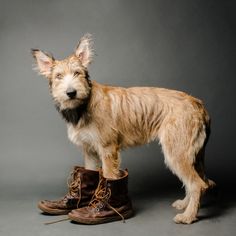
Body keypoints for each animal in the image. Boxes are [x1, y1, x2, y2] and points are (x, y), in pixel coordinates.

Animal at [31, 33, 216, 225]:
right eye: (58, 76)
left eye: (77, 73)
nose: (71, 92)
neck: (84, 105)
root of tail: (198, 104)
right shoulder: (90, 151)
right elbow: (90, 172)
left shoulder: (108, 150)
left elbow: (109, 176)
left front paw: (106, 207)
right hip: (192, 155)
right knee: (199, 181)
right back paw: (185, 205)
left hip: (176, 153)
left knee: (197, 184)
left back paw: (188, 216)